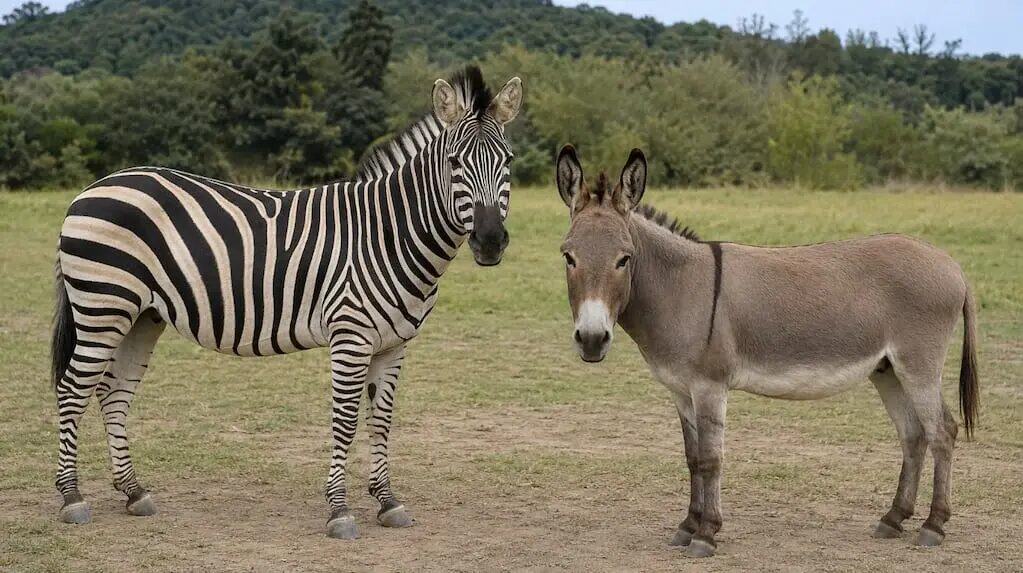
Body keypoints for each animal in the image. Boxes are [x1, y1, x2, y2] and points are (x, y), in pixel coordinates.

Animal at [50, 66, 523, 539]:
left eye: (508, 162)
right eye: (454, 163)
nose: (490, 242)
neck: (389, 233)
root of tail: (92, 189)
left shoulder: (394, 344)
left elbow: (382, 419)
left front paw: (387, 501)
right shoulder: (350, 337)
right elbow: (345, 420)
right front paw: (339, 510)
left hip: (142, 316)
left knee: (113, 392)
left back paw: (133, 491)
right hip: (103, 306)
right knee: (72, 388)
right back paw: (72, 497)